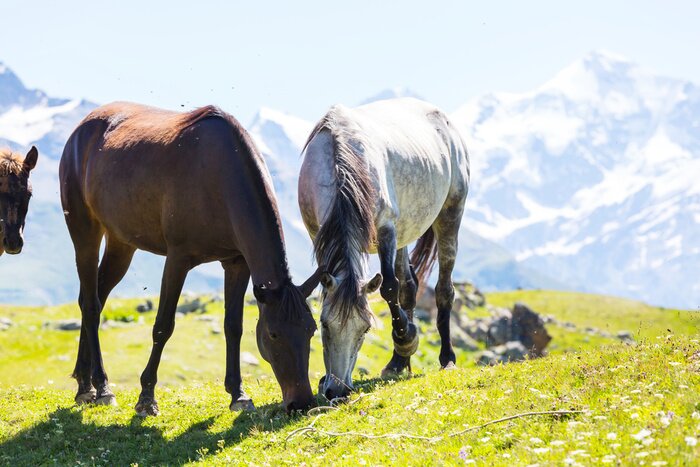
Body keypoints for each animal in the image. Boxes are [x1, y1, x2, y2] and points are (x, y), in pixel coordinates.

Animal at [60, 102, 321, 415]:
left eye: (311, 330)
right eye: (273, 334)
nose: (302, 402)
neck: (221, 176)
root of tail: (80, 130)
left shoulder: (237, 263)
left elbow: (233, 326)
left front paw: (238, 394)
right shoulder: (178, 260)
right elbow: (163, 326)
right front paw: (146, 397)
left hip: (121, 244)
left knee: (94, 298)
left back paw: (84, 383)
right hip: (85, 232)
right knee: (90, 304)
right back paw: (101, 387)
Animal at [298, 98, 469, 399]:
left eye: (365, 329)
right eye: (324, 325)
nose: (337, 391)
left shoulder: (386, 230)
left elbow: (389, 287)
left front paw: (407, 339)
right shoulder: (317, 235)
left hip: (450, 215)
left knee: (443, 289)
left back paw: (446, 358)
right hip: (405, 233)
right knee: (410, 286)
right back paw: (398, 364)